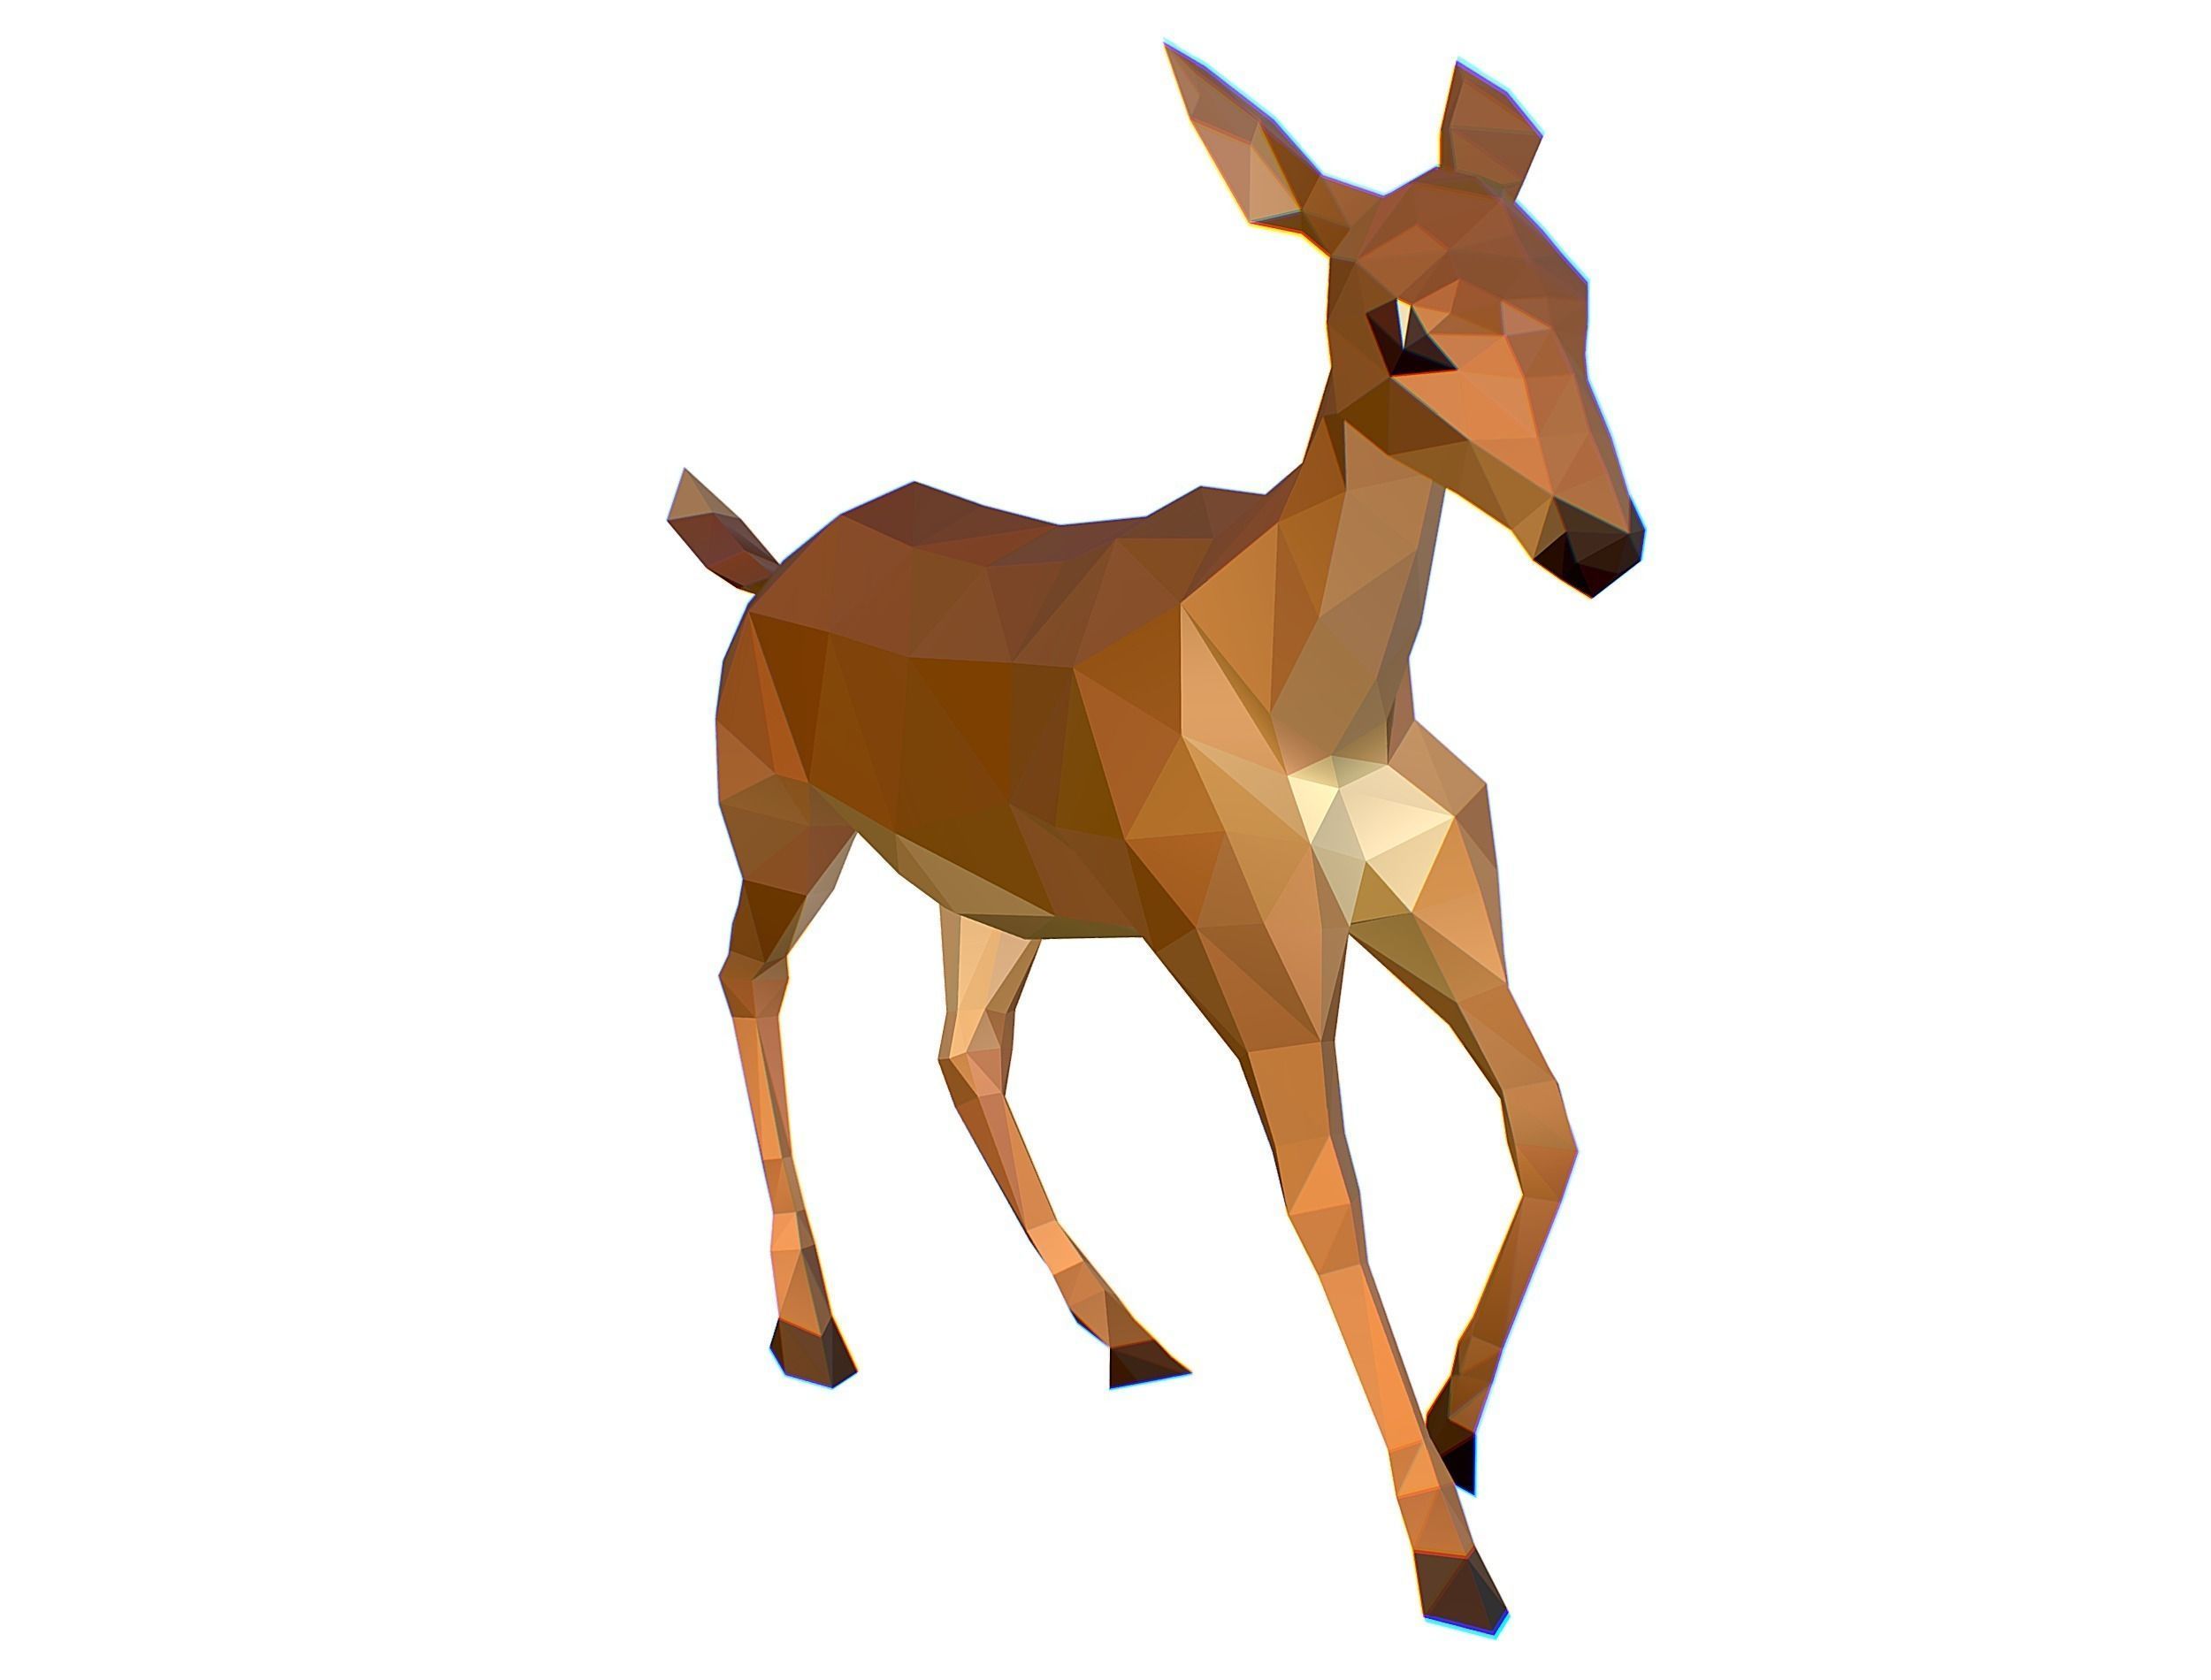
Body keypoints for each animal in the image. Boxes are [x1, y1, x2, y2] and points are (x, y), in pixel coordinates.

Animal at [668, 47, 1642, 1634]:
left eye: (1574, 286)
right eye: (1405, 325)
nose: (1599, 544)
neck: (1320, 696)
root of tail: (763, 568)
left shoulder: (1435, 910)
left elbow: (1548, 1122)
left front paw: (1460, 1430)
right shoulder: (1250, 955)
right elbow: (1329, 1204)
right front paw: (1449, 1561)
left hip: (992, 894)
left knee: (964, 1052)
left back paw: (1125, 1333)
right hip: (784, 828)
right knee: (750, 984)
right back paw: (814, 1334)